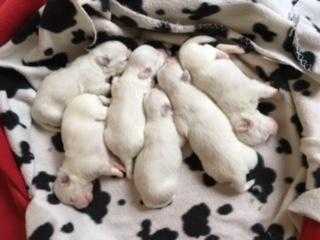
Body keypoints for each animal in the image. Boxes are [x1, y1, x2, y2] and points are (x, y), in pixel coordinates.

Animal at [105, 45, 166, 177]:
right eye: (157, 56)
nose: (164, 49)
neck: (133, 72)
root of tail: (125, 156)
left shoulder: (117, 83)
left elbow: (114, 83)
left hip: (107, 137)